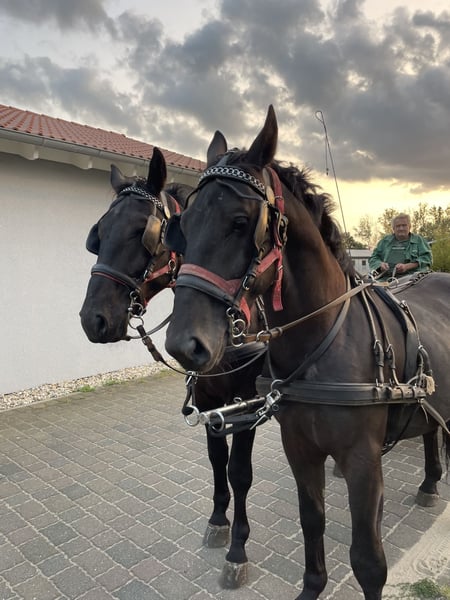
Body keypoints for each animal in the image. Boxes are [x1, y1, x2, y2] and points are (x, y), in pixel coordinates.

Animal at [79, 147, 266, 588]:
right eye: (99, 233)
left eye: (143, 232)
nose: (93, 320)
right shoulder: (209, 401)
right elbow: (216, 461)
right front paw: (217, 521)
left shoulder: (246, 404)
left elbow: (240, 471)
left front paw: (237, 549)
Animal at [164, 106, 450, 600]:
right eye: (182, 225)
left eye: (241, 221)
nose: (185, 344)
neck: (324, 344)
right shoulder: (300, 449)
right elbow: (311, 520)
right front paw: (312, 586)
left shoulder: (362, 460)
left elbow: (368, 560)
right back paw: (431, 481)